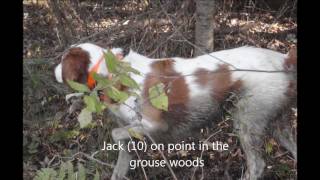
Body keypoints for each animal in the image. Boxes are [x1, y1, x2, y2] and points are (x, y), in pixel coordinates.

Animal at [53, 43, 296, 180]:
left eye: (62, 59)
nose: (51, 68)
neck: (112, 72)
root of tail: (283, 60)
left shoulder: (153, 124)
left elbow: (116, 134)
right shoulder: (129, 137)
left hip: (247, 122)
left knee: (257, 166)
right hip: (279, 126)